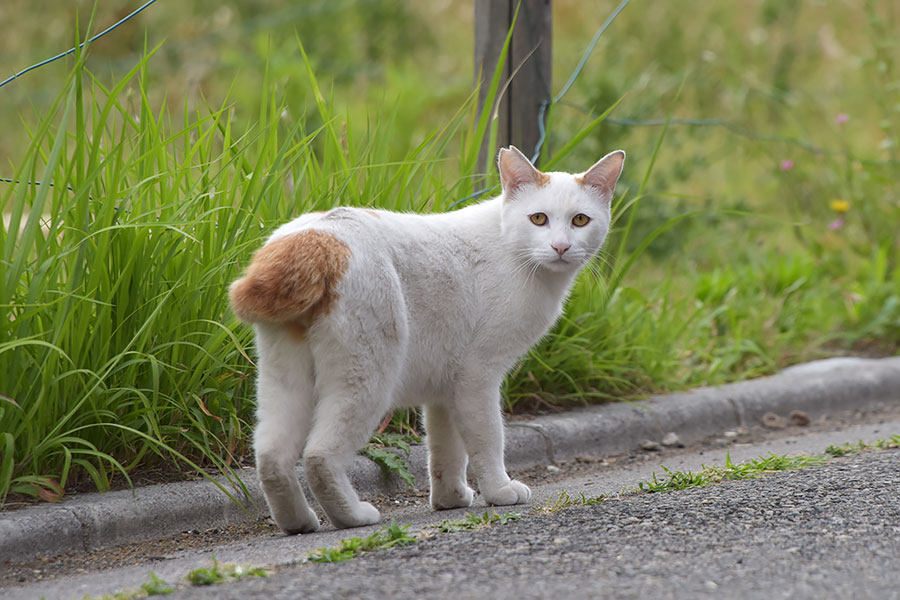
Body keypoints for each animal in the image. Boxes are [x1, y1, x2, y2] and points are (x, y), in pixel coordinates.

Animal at [227, 146, 624, 536]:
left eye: (580, 221)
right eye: (538, 219)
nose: (561, 247)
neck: (512, 250)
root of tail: (315, 238)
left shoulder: (445, 386)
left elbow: (446, 448)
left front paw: (450, 498)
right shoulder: (477, 376)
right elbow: (487, 438)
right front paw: (499, 490)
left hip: (283, 377)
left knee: (272, 457)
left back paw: (299, 522)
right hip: (366, 376)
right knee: (319, 455)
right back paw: (352, 516)